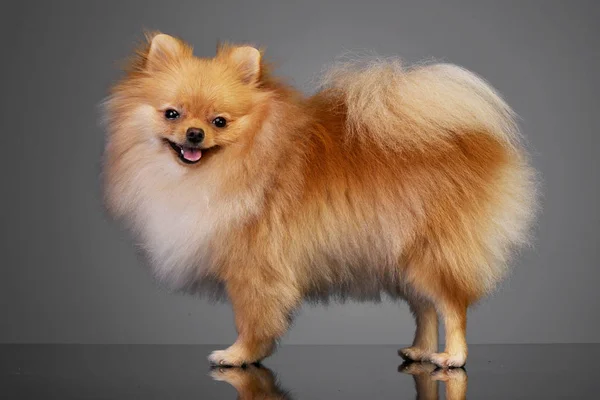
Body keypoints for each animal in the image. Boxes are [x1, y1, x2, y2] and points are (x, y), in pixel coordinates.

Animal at [102, 32, 536, 368]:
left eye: (219, 121)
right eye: (172, 114)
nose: (194, 134)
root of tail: (476, 140)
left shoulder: (254, 270)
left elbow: (251, 320)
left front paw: (239, 355)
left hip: (434, 253)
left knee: (452, 306)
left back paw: (452, 357)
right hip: (404, 257)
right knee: (426, 308)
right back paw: (420, 350)